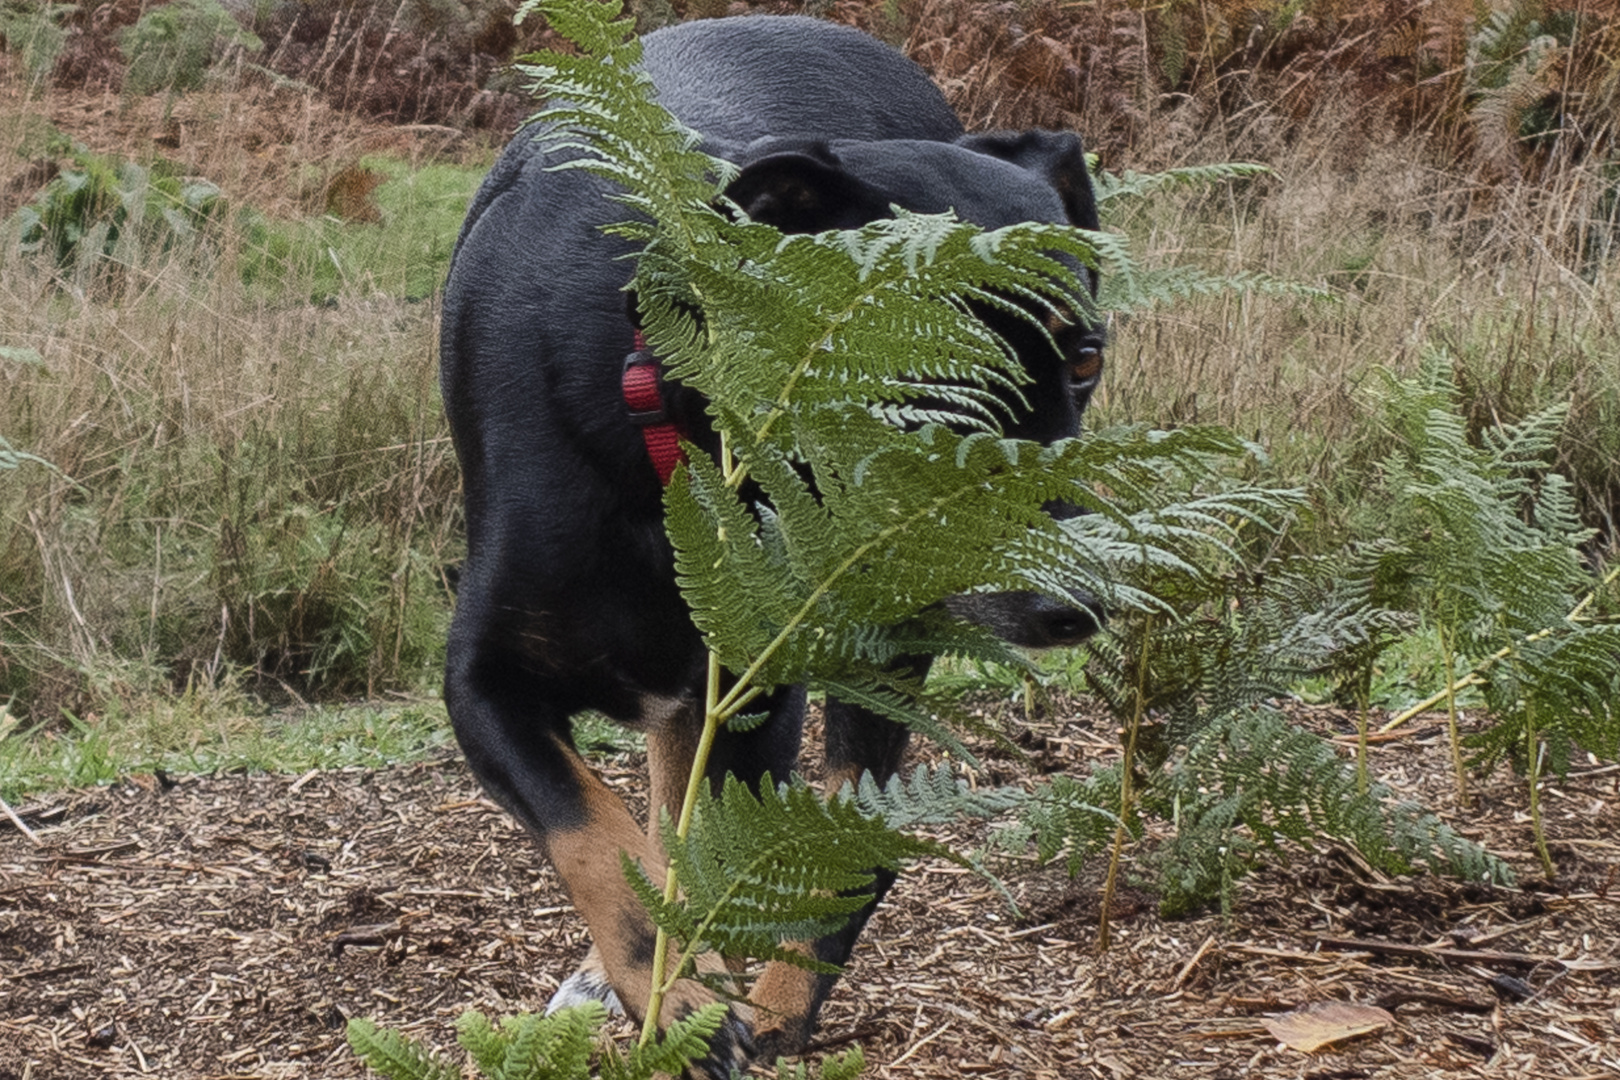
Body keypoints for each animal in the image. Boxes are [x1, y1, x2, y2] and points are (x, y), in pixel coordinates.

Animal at [437, 14, 1108, 1075]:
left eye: (1086, 361)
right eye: (931, 375)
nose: (1076, 604)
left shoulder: (757, 692)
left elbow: (715, 856)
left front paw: (699, 999)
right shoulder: (482, 681)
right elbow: (592, 829)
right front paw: (667, 997)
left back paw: (783, 999)